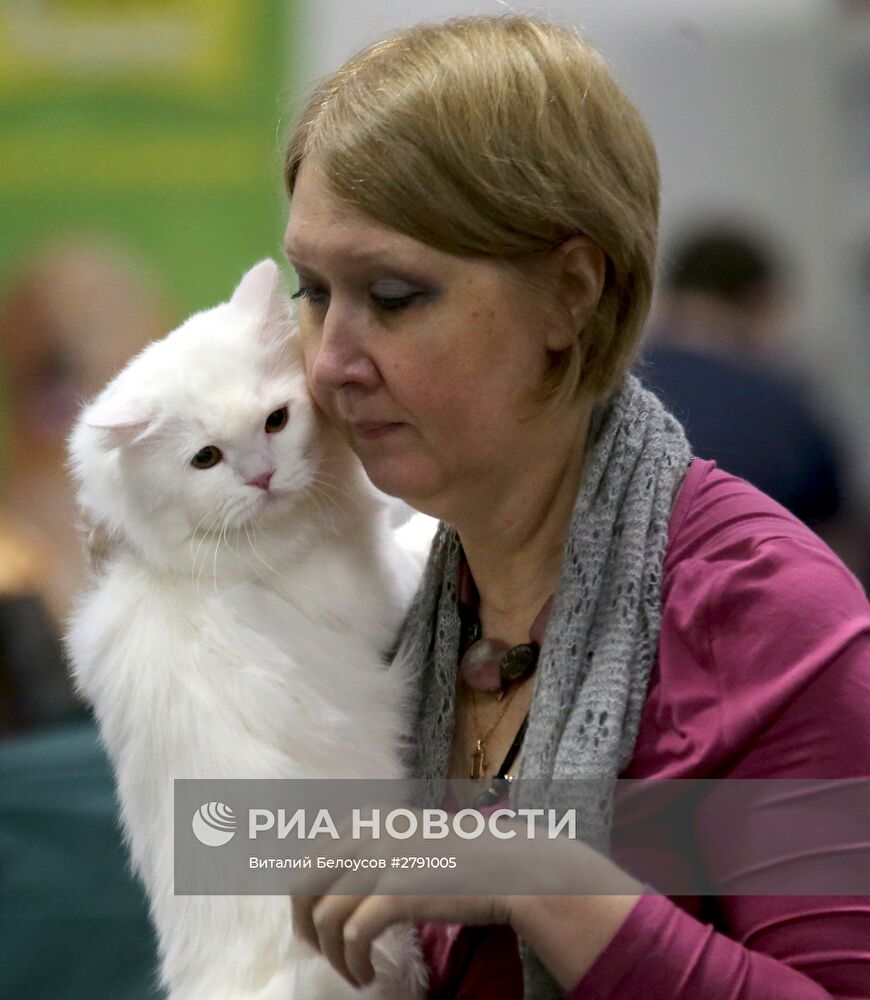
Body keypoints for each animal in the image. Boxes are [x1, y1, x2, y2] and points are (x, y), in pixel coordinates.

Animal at [63, 260, 430, 1000]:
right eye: (206, 459)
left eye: (277, 420)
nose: (263, 477)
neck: (173, 569)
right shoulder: (381, 589)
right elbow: (419, 537)